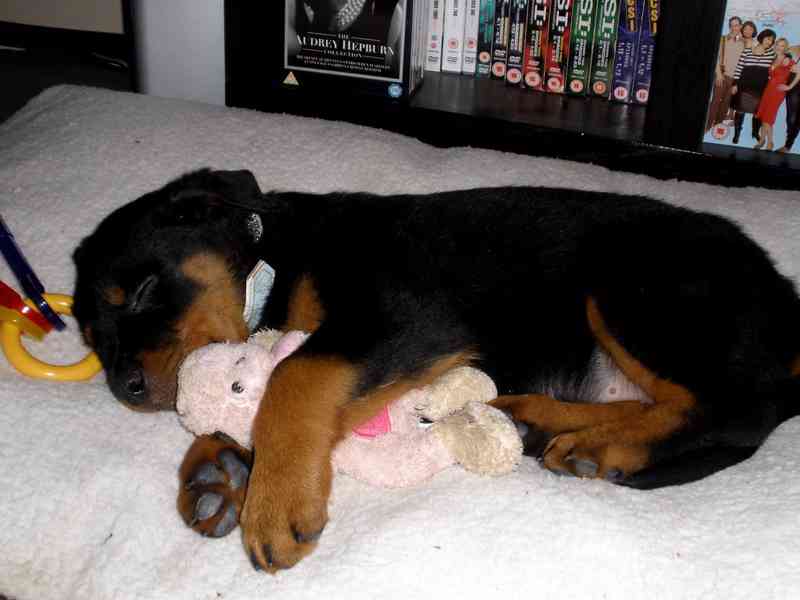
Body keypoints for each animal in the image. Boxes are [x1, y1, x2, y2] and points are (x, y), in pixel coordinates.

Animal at [72, 168, 800, 573]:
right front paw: (217, 470)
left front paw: (275, 504)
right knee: (674, 403)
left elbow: (293, 376)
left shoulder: (401, 317)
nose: (125, 388)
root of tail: (785, 298)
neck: (275, 255)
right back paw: (545, 426)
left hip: (631, 286)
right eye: (90, 335)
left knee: (737, 414)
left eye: (140, 292)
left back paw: (609, 450)